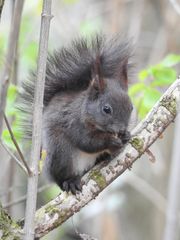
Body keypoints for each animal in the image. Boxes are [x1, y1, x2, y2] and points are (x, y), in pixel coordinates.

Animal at [19, 34, 133, 194]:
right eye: (106, 109)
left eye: (131, 108)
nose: (121, 129)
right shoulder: (73, 123)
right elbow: (87, 142)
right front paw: (111, 141)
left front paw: (126, 135)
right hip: (60, 152)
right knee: (61, 178)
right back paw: (70, 182)